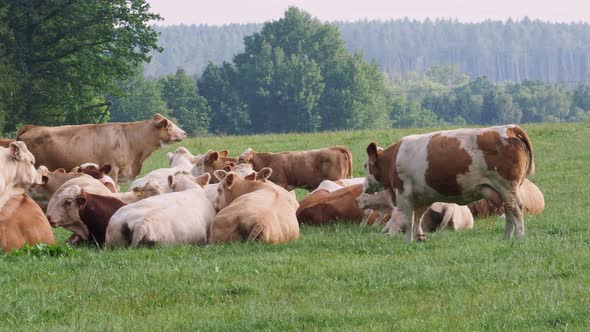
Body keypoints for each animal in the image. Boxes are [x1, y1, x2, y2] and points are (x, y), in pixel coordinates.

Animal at [366, 124, 536, 241]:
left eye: (365, 165)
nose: (366, 187)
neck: (394, 158)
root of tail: (509, 128)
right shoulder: (422, 196)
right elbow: (418, 217)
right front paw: (419, 237)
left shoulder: (404, 195)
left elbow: (409, 219)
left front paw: (408, 240)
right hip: (503, 191)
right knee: (509, 211)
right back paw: (507, 237)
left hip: (507, 187)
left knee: (516, 209)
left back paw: (519, 237)